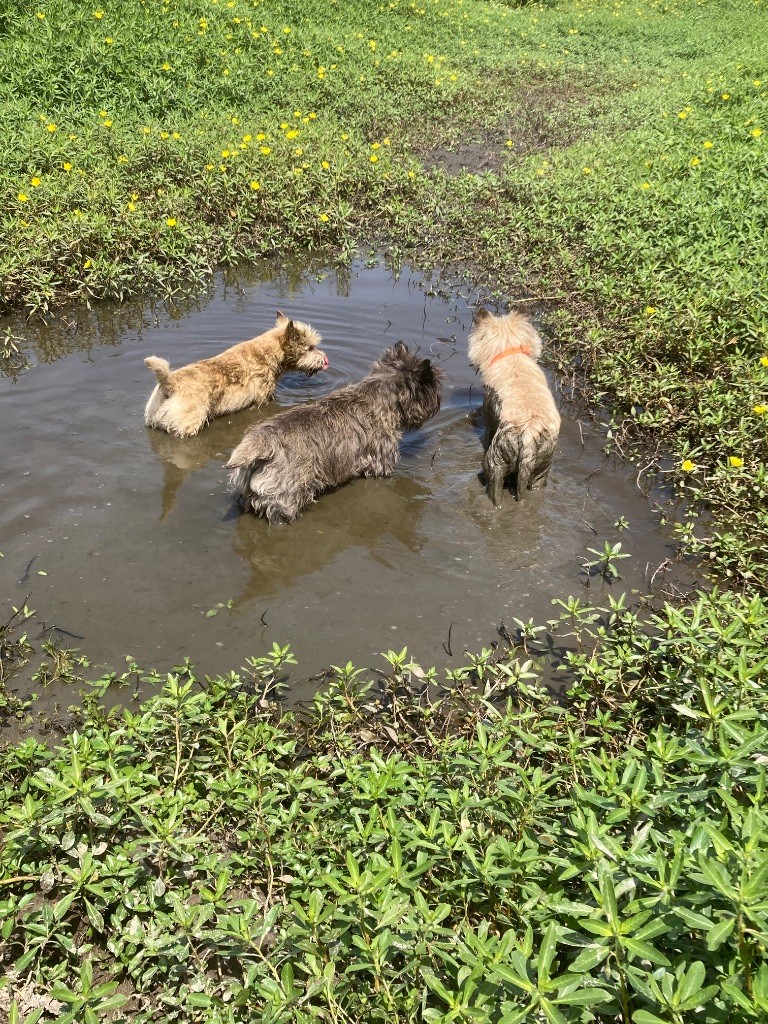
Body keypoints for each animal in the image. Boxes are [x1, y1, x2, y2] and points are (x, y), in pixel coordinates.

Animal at [227, 344, 444, 524]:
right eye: (434, 384)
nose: (438, 402)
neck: (380, 395)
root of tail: (260, 445)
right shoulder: (380, 459)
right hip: (285, 497)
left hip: (249, 492)